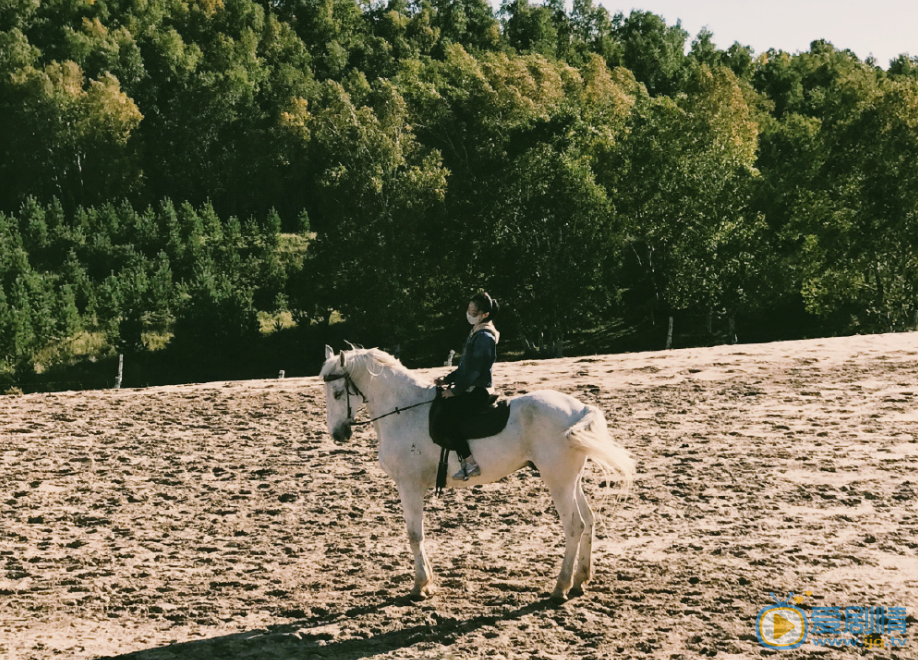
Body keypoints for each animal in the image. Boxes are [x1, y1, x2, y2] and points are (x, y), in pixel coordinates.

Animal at [326, 346, 640, 604]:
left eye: (338, 394)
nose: (338, 434)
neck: (403, 411)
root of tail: (581, 409)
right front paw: (428, 583)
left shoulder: (409, 486)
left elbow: (415, 536)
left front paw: (420, 586)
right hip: (570, 481)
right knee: (589, 521)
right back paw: (579, 581)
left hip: (558, 483)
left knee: (575, 526)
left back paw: (560, 588)